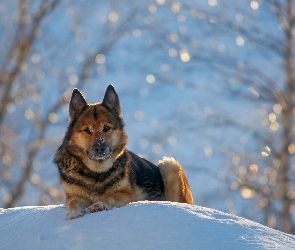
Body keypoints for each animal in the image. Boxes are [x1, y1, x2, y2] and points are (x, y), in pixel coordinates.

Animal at [54, 85, 194, 219]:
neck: (96, 173)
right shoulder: (73, 195)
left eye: (106, 128)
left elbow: (107, 196)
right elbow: (72, 202)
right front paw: (74, 212)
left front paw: (99, 204)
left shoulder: (126, 196)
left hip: (169, 165)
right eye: (87, 130)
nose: (99, 148)